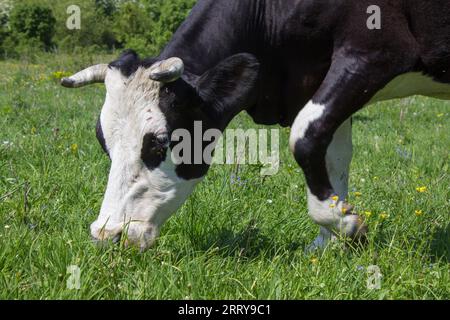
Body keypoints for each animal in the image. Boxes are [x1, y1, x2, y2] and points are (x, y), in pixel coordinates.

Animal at [60, 0, 450, 250]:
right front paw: (332, 240)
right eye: (104, 143)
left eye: (159, 143)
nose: (107, 235)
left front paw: (347, 225)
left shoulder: (378, 51)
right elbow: (333, 155)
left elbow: (305, 137)